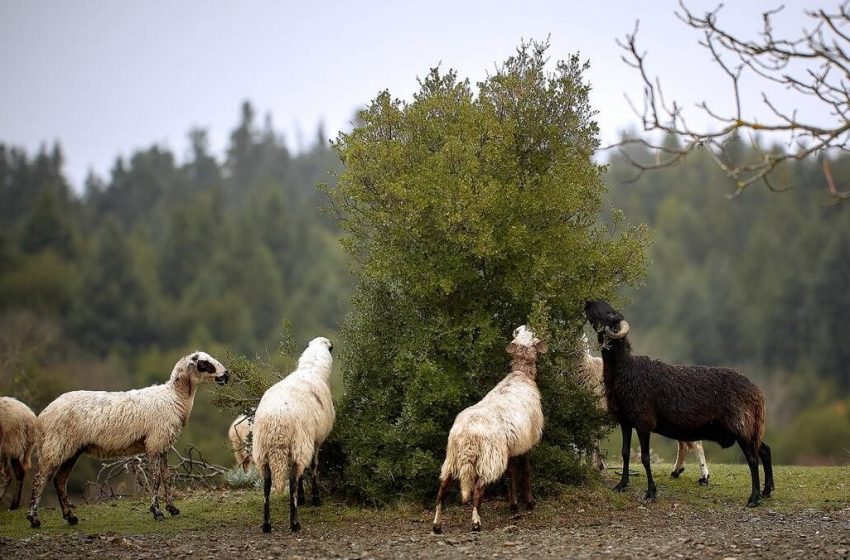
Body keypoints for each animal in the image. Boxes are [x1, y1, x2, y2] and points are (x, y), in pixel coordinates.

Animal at [26, 352, 227, 528]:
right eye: (204, 363)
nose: (226, 375)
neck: (174, 397)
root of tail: (42, 417)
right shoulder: (154, 442)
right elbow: (156, 479)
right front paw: (157, 512)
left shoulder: (162, 444)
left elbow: (167, 476)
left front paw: (172, 509)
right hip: (56, 445)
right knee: (39, 479)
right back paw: (34, 519)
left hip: (71, 450)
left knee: (59, 480)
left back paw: (71, 517)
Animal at [252, 336, 334, 532]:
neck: (312, 369)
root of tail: (277, 424)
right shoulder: (315, 441)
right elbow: (313, 467)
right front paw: (314, 498)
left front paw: (305, 498)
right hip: (299, 442)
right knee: (292, 481)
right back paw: (295, 522)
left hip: (262, 449)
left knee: (267, 484)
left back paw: (266, 524)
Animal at [430, 326, 544, 536]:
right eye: (530, 335)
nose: (522, 327)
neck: (521, 374)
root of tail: (467, 435)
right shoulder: (526, 442)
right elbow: (525, 470)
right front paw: (529, 502)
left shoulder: (511, 446)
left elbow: (512, 472)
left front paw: (514, 505)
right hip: (489, 458)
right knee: (477, 490)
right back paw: (476, 523)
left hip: (453, 457)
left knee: (442, 490)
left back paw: (437, 525)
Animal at [576, 332, 708, 486]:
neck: (586, 367)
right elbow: (589, 442)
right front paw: (594, 465)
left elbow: (591, 442)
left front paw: (592, 466)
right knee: (683, 443)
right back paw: (677, 471)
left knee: (696, 442)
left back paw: (704, 476)